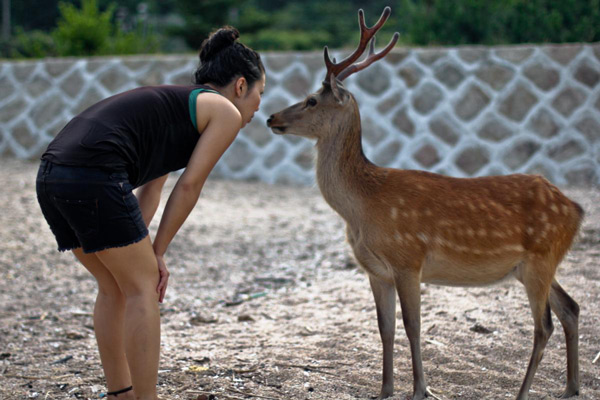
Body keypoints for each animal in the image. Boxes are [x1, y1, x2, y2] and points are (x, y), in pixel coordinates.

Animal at [268, 6, 584, 400]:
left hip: (541, 258)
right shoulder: (376, 270)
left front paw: (421, 389)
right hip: (534, 265)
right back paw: (571, 387)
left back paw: (523, 393)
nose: (271, 117)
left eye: (312, 100)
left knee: (544, 326)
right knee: (571, 308)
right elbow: (384, 328)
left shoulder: (409, 258)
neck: (362, 208)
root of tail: (576, 210)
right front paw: (385, 390)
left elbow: (412, 325)